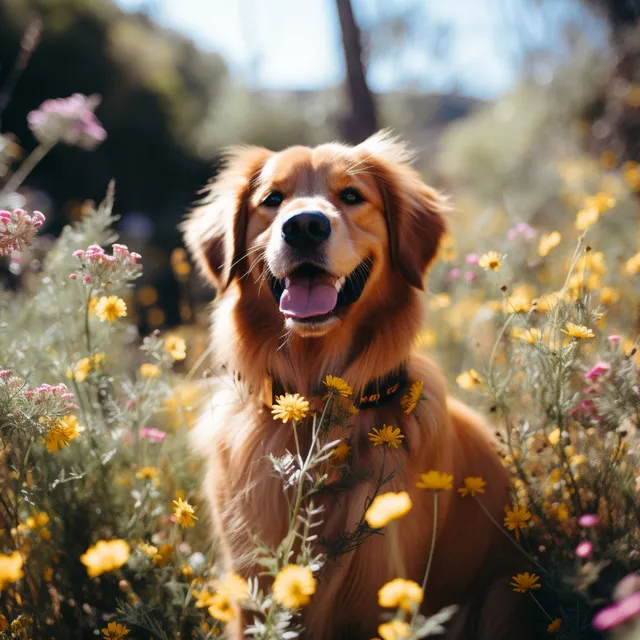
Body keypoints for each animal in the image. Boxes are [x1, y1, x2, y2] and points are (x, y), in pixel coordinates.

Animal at [184, 132, 536, 636]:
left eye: (351, 196)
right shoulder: (248, 588)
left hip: (501, 596)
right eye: (272, 199)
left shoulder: (378, 591)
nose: (305, 226)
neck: (315, 404)